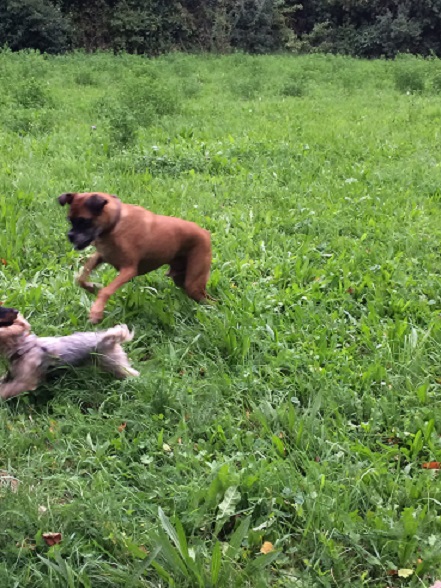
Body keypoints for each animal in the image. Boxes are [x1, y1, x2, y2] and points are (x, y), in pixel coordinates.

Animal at [0, 307, 139, 400]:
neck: (23, 346)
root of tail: (107, 339)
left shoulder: (24, 381)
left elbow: (8, 389)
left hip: (113, 362)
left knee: (131, 373)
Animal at [58, 192, 212, 323]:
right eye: (70, 220)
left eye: (84, 221)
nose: (70, 236)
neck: (115, 224)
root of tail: (205, 233)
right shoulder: (100, 257)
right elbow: (81, 278)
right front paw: (92, 287)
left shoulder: (129, 270)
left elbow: (106, 291)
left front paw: (96, 311)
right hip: (182, 279)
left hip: (193, 284)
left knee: (208, 299)